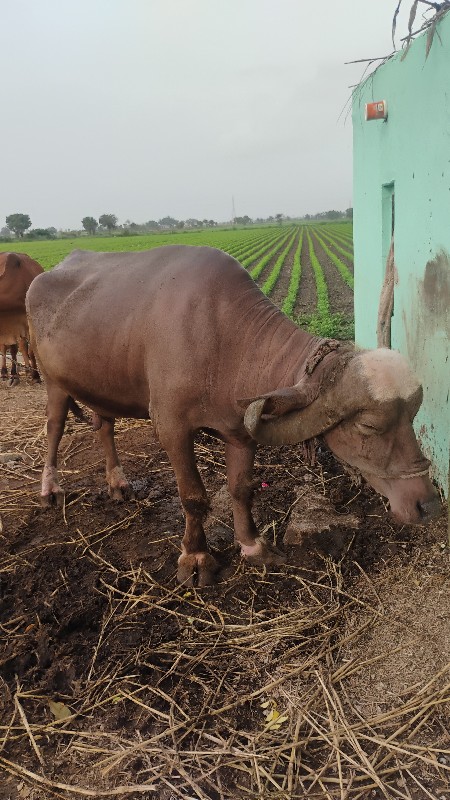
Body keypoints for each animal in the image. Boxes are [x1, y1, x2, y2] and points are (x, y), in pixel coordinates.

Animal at [26, 246, 441, 586]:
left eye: (412, 417)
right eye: (369, 425)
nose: (428, 504)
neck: (221, 339)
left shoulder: (240, 429)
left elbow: (241, 488)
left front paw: (252, 545)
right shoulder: (171, 427)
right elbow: (193, 496)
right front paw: (196, 557)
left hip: (97, 384)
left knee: (104, 425)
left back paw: (117, 482)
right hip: (53, 382)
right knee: (54, 428)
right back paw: (50, 489)